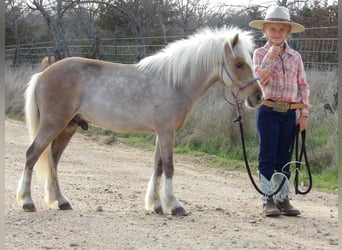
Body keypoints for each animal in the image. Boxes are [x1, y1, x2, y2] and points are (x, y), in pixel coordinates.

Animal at [17, 26, 264, 215]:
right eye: (239, 64)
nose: (258, 96)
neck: (174, 83)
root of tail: (43, 74)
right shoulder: (166, 133)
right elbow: (169, 167)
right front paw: (175, 206)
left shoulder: (161, 134)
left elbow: (158, 167)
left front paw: (156, 205)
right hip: (53, 125)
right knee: (32, 155)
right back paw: (28, 202)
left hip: (67, 128)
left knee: (53, 161)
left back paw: (62, 201)